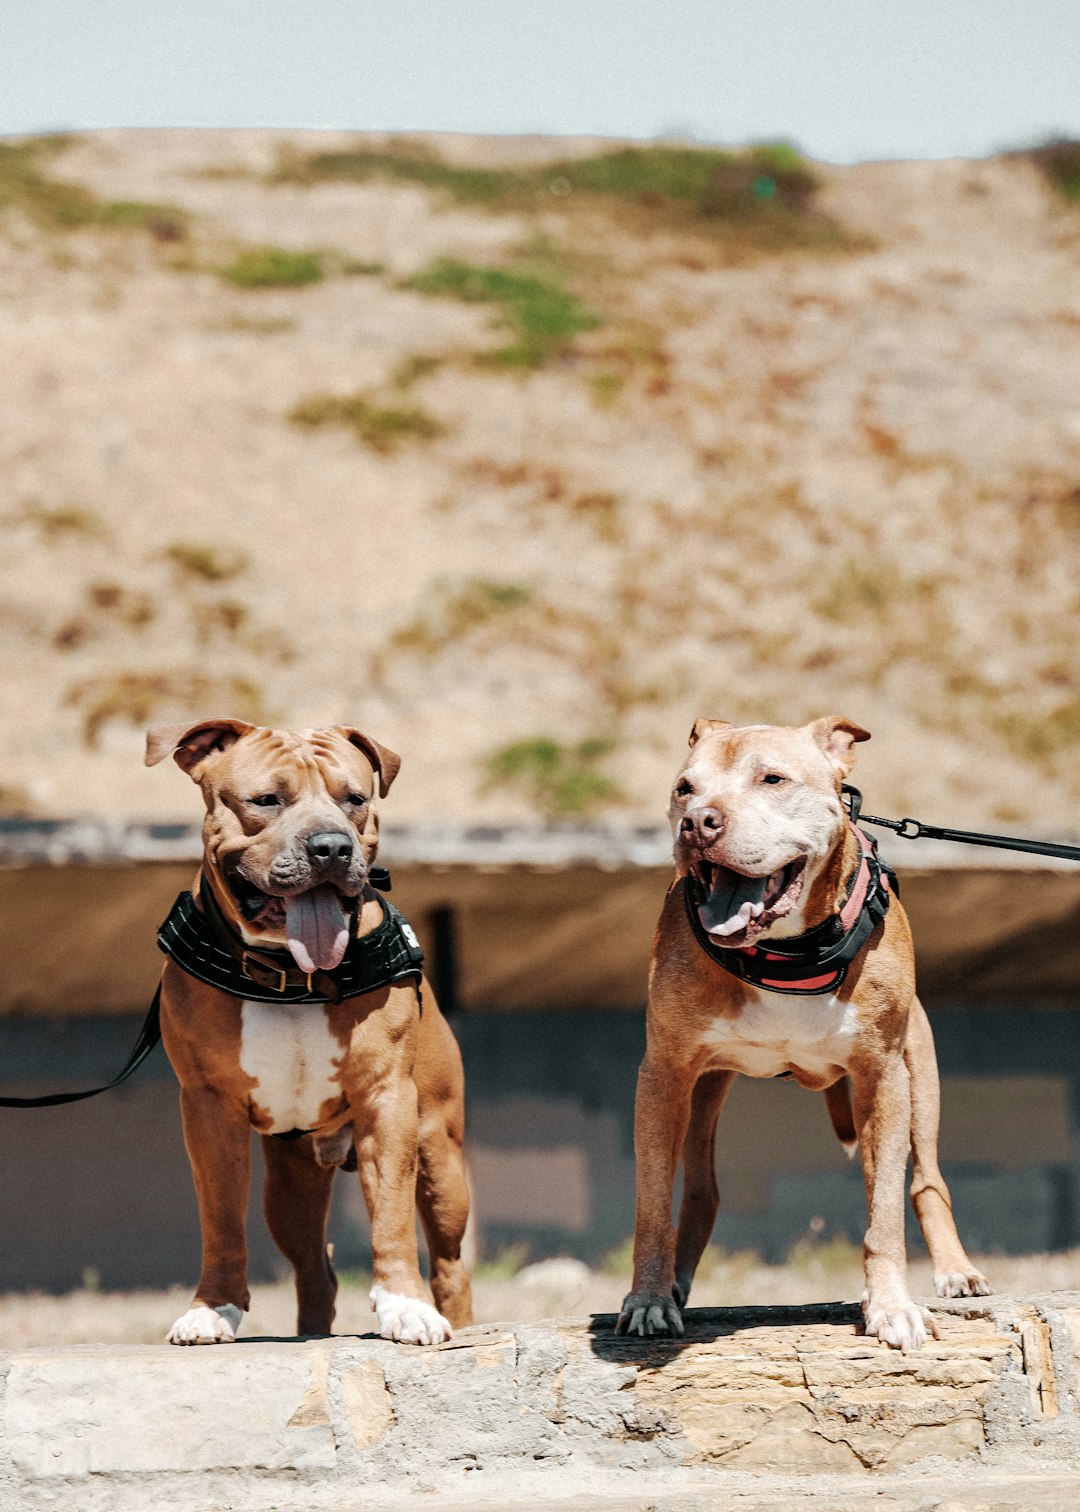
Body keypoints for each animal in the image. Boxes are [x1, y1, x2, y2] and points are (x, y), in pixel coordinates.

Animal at [144, 719, 471, 1348]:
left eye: (355, 799)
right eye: (267, 800)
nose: (331, 847)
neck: (292, 974)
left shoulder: (387, 1102)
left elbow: (391, 1217)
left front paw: (405, 1306)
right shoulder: (208, 1110)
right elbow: (220, 1219)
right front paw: (211, 1309)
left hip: (440, 1158)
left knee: (450, 1264)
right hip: (291, 1187)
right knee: (315, 1273)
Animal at [614, 713, 986, 1354]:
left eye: (773, 779)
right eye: (684, 788)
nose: (698, 823)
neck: (783, 951)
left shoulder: (883, 1076)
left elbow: (885, 1209)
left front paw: (891, 1306)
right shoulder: (663, 1074)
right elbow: (653, 1199)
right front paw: (649, 1300)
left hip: (920, 1071)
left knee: (926, 1181)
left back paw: (955, 1270)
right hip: (703, 1090)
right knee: (700, 1191)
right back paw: (677, 1284)